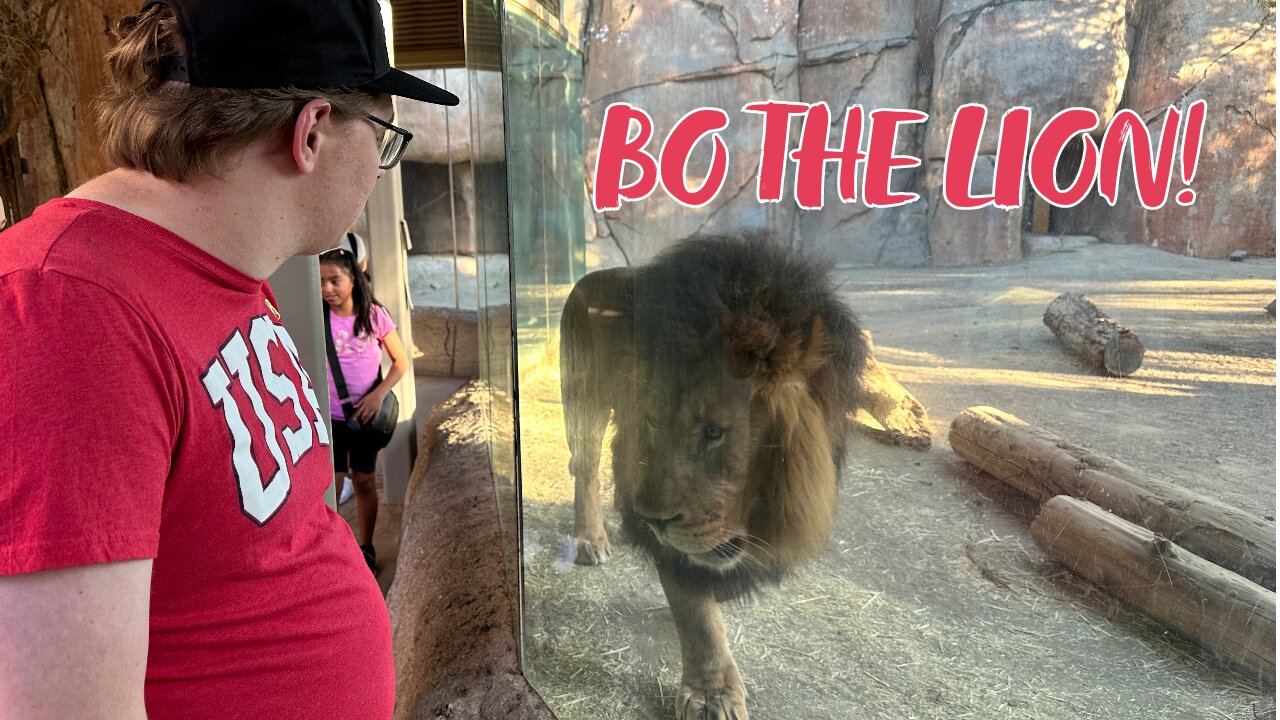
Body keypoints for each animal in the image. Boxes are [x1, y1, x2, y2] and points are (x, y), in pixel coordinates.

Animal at [560, 233, 870, 712]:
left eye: (714, 432)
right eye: (652, 421)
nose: (652, 520)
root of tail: (585, 279)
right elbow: (695, 607)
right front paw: (712, 691)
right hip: (583, 400)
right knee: (586, 470)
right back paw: (591, 538)